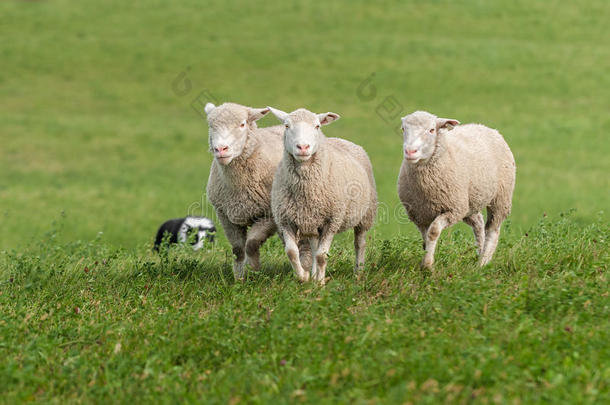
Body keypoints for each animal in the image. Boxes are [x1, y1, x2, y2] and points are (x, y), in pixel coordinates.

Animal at [268, 107, 376, 284]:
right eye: (286, 125)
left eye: (317, 126)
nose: (303, 147)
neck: (306, 191)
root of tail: (340, 139)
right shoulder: (285, 219)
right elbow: (292, 252)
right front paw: (305, 277)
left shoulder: (332, 221)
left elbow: (321, 255)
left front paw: (320, 282)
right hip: (312, 222)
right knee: (313, 245)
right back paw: (313, 274)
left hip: (366, 214)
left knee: (360, 243)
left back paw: (358, 272)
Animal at [396, 110, 516, 268]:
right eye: (403, 129)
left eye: (432, 130)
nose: (410, 151)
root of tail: (487, 128)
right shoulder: (418, 215)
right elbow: (425, 237)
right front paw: (426, 260)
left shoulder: (453, 209)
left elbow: (433, 231)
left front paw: (427, 264)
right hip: (469, 202)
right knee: (478, 223)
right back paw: (479, 252)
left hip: (500, 197)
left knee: (493, 230)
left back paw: (483, 262)